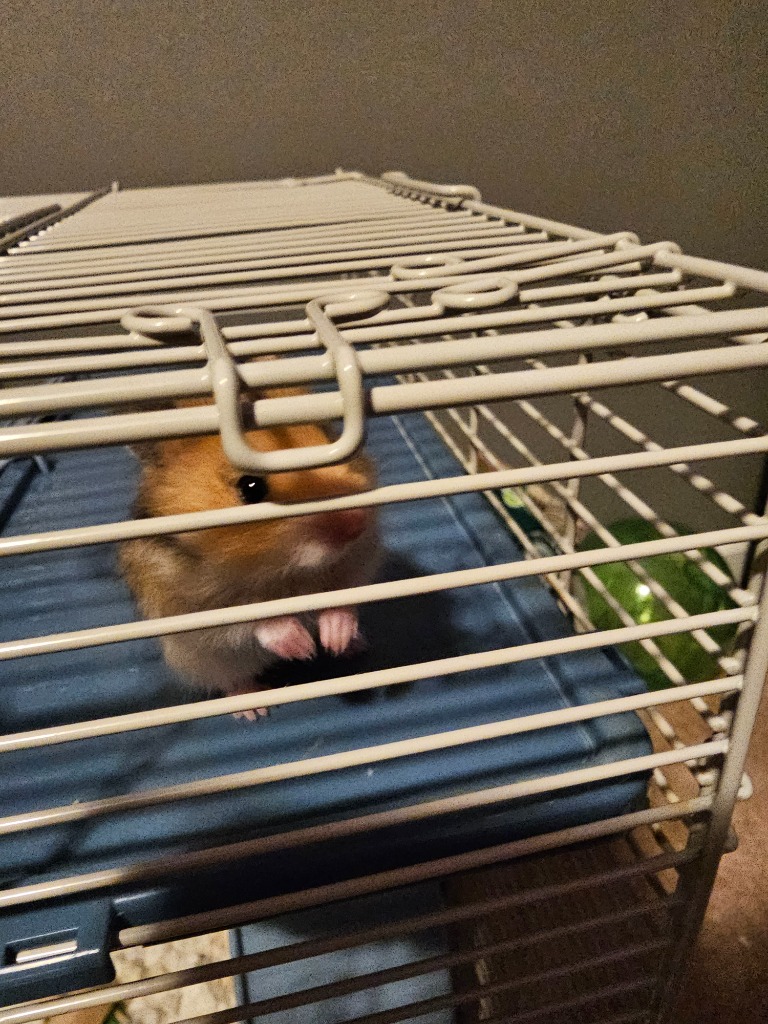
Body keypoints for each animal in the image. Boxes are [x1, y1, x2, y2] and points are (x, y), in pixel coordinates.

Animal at [119, 387, 380, 719]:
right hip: (202, 662)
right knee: (232, 678)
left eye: (330, 438)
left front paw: (333, 639)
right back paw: (254, 708)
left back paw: (352, 646)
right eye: (251, 487)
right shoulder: (189, 604)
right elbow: (251, 619)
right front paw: (302, 647)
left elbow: (342, 597)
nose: (357, 522)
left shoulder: (359, 560)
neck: (284, 572)